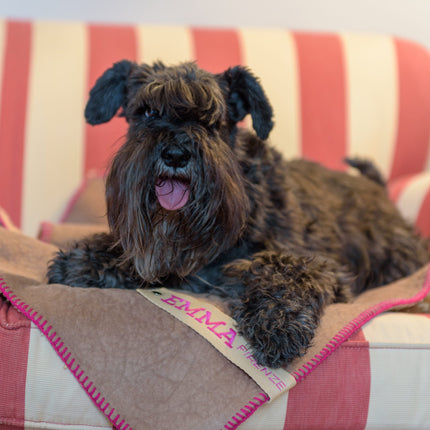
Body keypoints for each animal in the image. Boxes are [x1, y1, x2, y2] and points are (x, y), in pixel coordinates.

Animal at [45, 60, 428, 368]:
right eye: (147, 112)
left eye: (214, 121)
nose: (175, 154)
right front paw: (85, 260)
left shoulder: (315, 264)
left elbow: (283, 275)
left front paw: (279, 326)